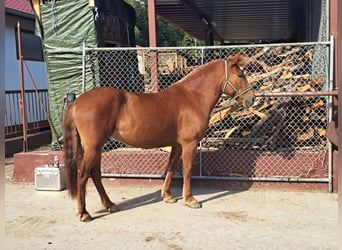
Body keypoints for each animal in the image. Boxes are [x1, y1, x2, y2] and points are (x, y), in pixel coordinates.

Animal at [62, 53, 254, 222]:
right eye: (240, 74)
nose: (251, 99)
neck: (193, 97)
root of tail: (77, 101)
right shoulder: (189, 144)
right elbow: (187, 170)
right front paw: (190, 199)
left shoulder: (177, 145)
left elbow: (171, 168)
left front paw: (167, 196)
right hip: (93, 147)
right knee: (83, 173)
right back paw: (84, 213)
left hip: (97, 147)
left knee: (95, 173)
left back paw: (109, 204)